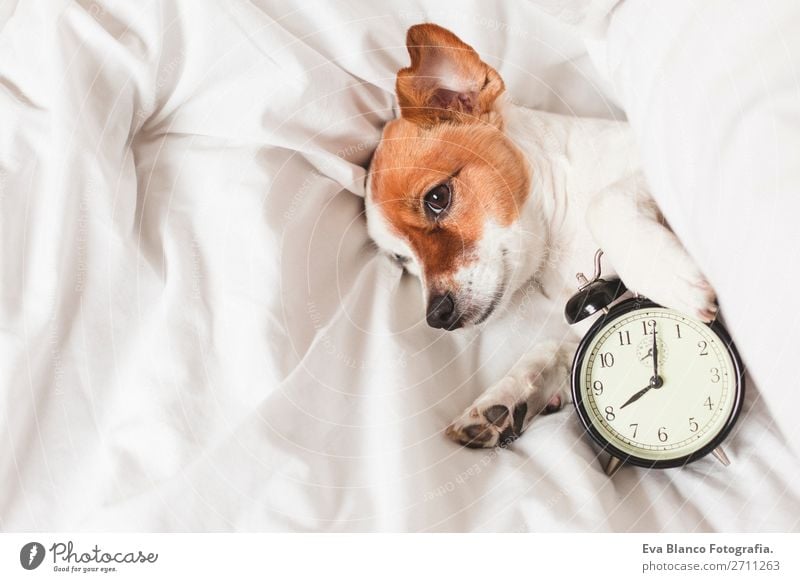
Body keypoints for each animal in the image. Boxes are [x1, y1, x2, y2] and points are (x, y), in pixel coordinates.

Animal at [366, 22, 716, 450]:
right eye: (402, 260)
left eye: (437, 197)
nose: (437, 316)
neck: (559, 250)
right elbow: (557, 351)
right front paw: (506, 397)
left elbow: (603, 202)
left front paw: (665, 276)